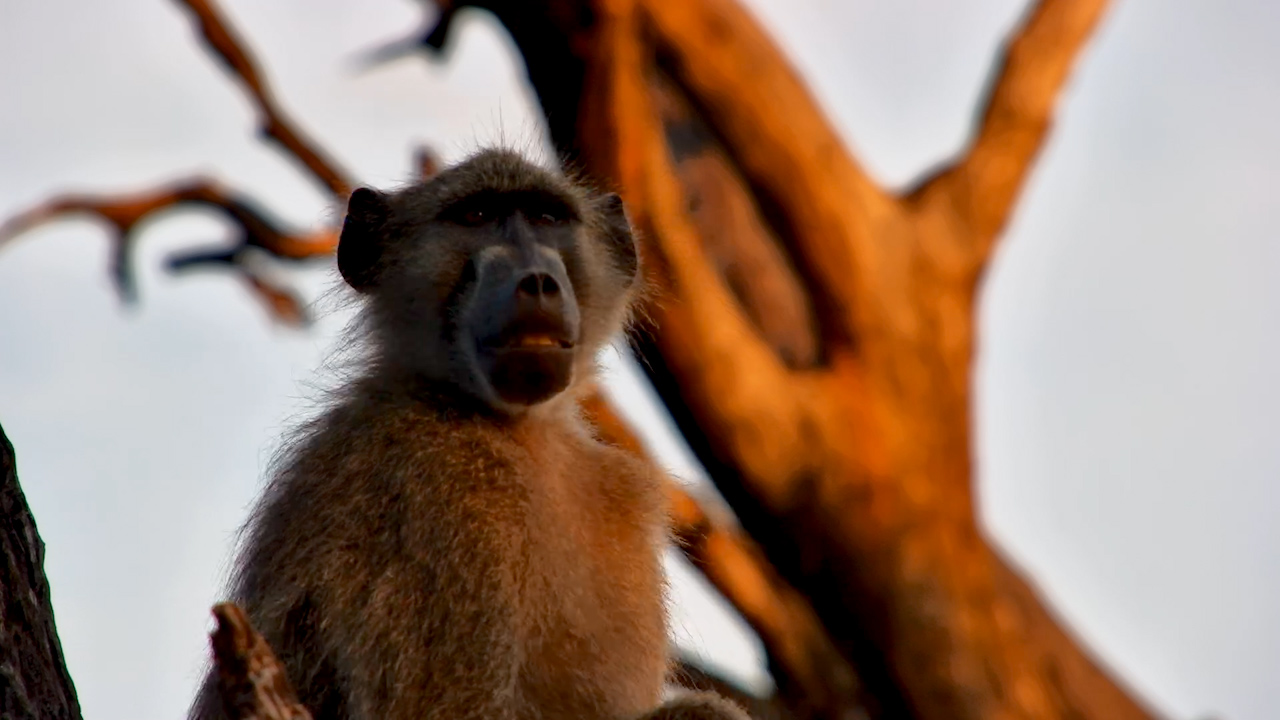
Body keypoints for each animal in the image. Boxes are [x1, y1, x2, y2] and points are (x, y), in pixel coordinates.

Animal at [189, 148, 750, 720]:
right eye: (475, 216)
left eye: (547, 217)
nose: (536, 280)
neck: (517, 430)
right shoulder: (435, 495)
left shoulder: (618, 490)